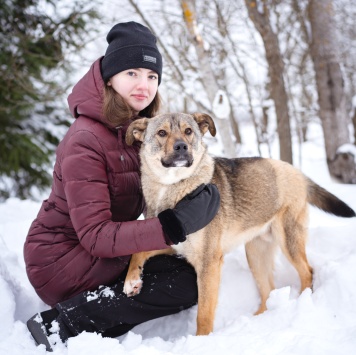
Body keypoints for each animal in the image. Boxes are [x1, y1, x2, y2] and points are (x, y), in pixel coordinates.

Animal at [121, 113, 354, 336]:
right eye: (162, 133)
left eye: (188, 131)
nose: (181, 147)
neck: (173, 187)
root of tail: (296, 171)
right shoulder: (172, 239)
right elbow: (138, 252)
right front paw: (132, 280)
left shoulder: (209, 262)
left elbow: (203, 315)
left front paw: (201, 342)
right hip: (256, 254)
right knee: (268, 290)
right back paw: (259, 318)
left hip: (288, 241)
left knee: (308, 272)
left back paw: (302, 303)